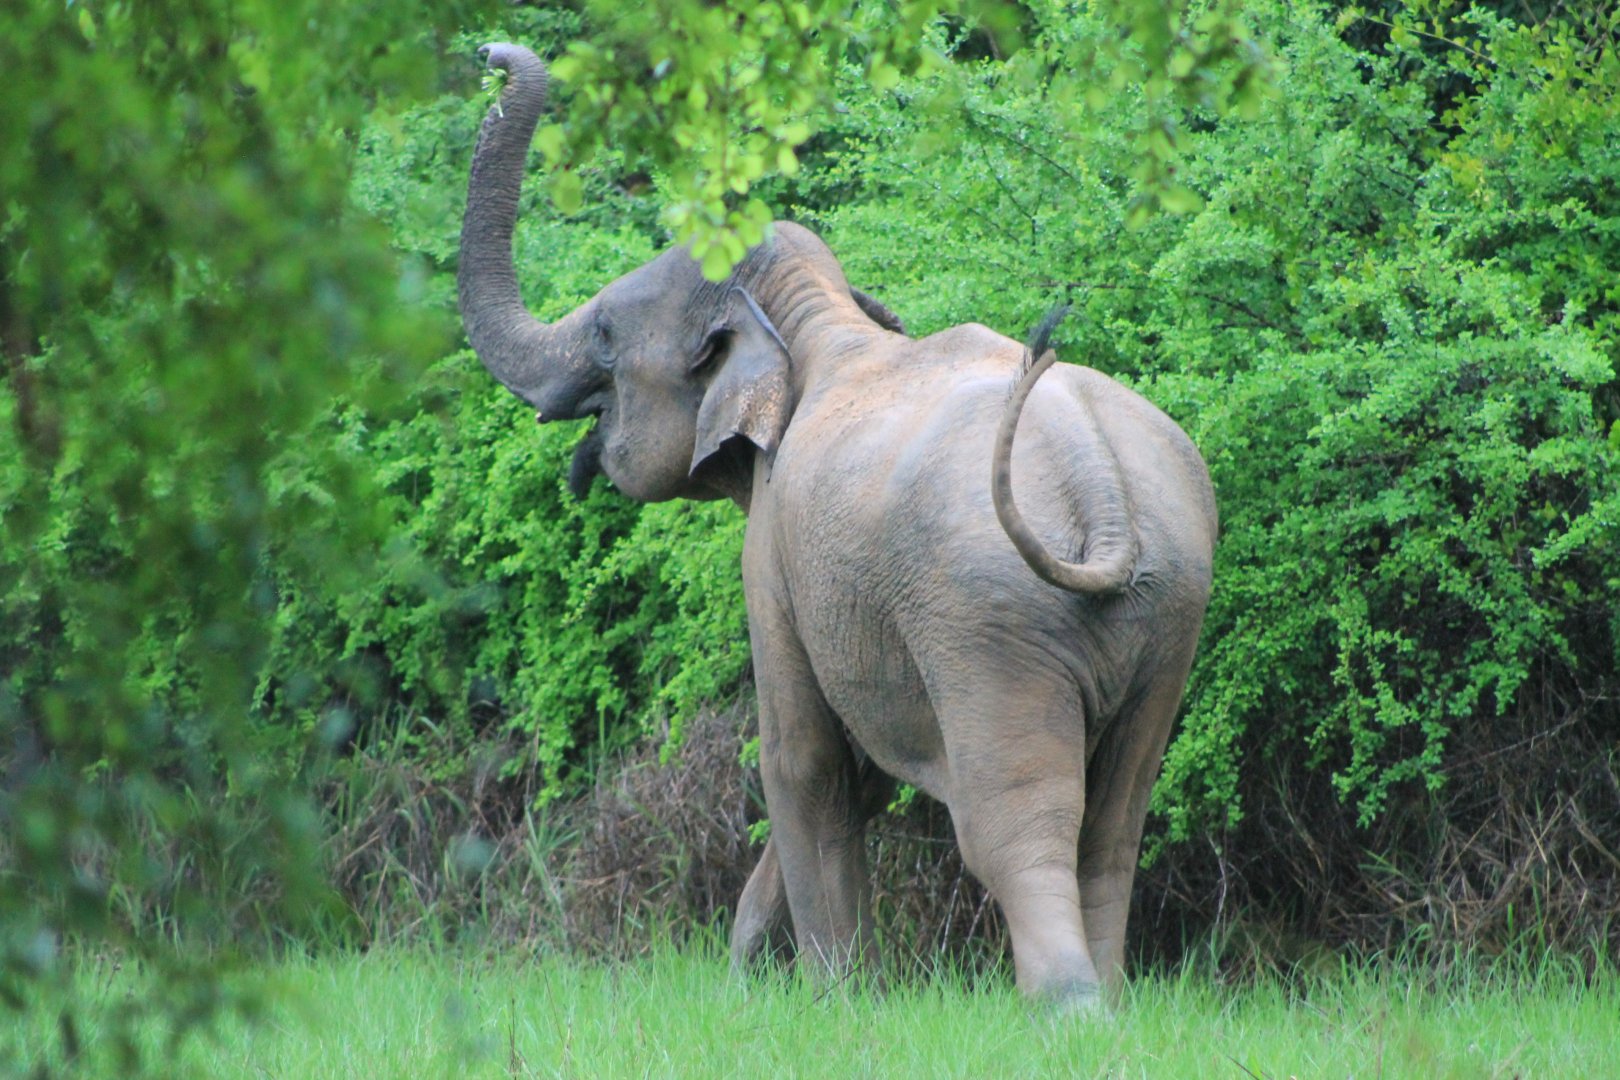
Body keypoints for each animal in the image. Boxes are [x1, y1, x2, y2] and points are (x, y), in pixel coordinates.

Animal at [459, 43, 1217, 1008]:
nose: (489, 54)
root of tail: (1098, 481)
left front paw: (828, 999)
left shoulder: (772, 554)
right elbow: (856, 779)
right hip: (1170, 615)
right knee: (1115, 826)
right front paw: (754, 977)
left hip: (989, 624)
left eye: (601, 336)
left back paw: (1068, 1010)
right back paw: (1112, 1003)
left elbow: (800, 756)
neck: (816, 313)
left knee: (1015, 823)